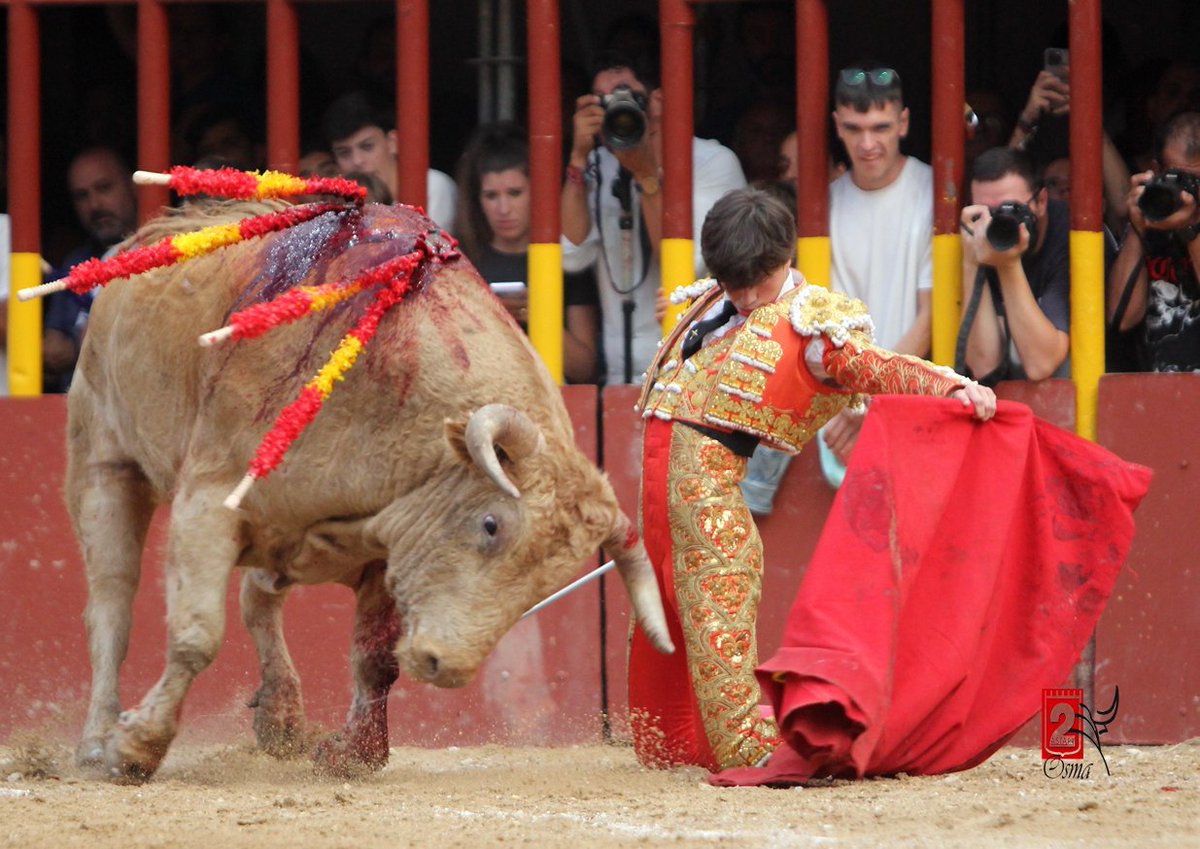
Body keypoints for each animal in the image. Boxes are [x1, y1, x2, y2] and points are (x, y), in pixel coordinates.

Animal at [68, 200, 676, 781]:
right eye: (491, 525)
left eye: (545, 583)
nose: (445, 665)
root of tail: (149, 235)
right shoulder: (209, 501)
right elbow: (195, 636)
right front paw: (136, 748)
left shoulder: (388, 545)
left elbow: (375, 658)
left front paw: (351, 754)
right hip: (104, 463)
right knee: (112, 608)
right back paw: (95, 739)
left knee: (258, 598)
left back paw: (281, 717)